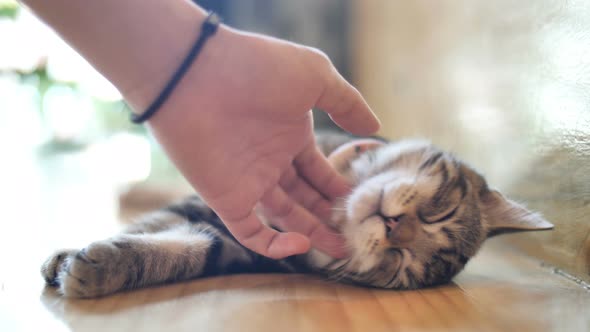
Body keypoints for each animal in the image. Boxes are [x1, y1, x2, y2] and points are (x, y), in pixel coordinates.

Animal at [41, 132, 556, 298]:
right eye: (439, 213)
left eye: (400, 266)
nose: (396, 229)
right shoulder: (206, 198)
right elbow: (147, 224)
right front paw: (68, 254)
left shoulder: (237, 244)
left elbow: (183, 249)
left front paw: (99, 268)